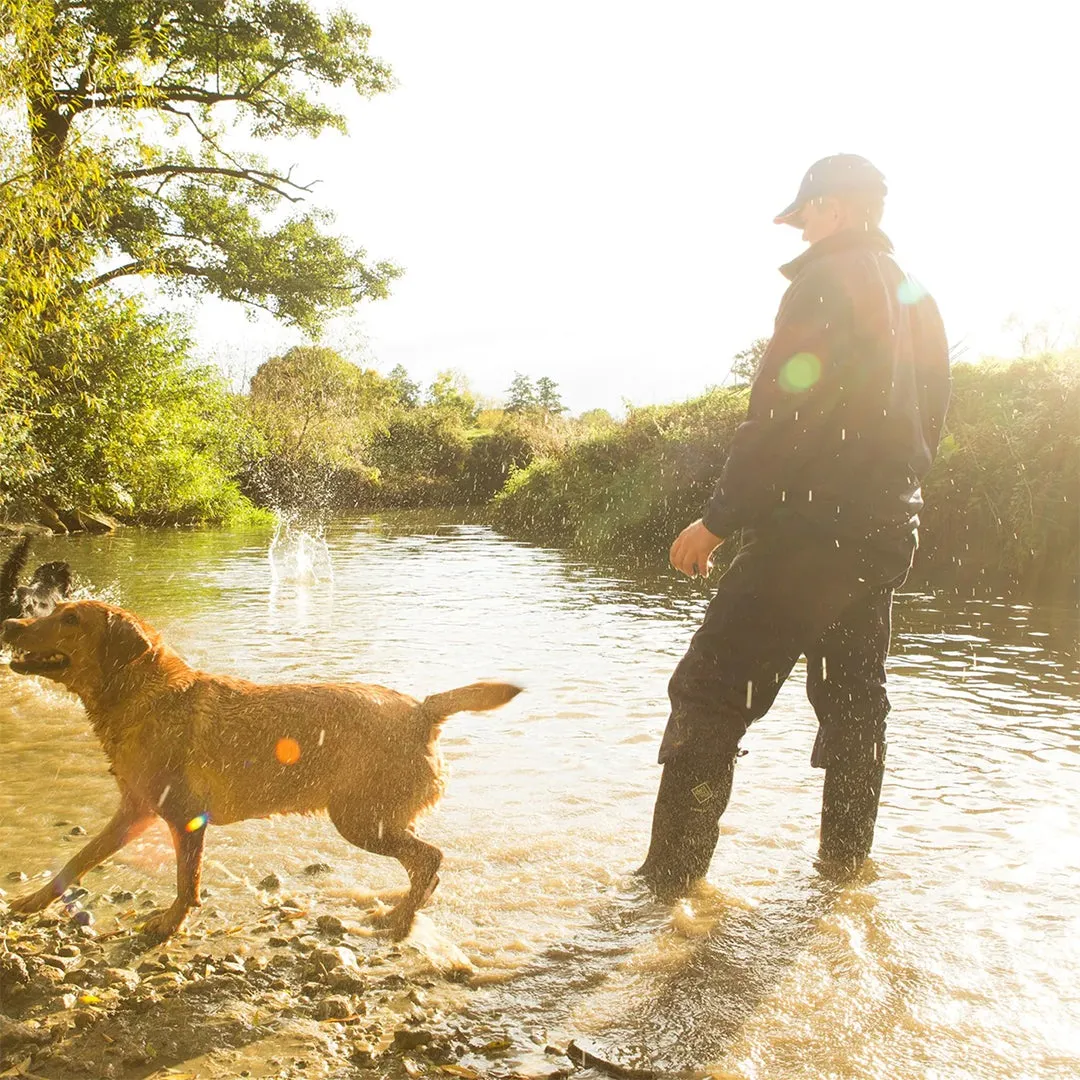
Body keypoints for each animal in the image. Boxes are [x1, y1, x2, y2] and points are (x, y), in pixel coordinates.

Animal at [2, 600, 520, 937]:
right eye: (54, 608)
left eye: (71, 619)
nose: (9, 623)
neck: (143, 695)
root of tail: (422, 709)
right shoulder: (134, 811)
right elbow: (78, 859)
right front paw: (31, 901)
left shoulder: (182, 817)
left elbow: (185, 882)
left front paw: (170, 923)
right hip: (376, 817)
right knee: (423, 864)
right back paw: (404, 906)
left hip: (360, 820)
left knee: (429, 857)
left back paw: (399, 919)